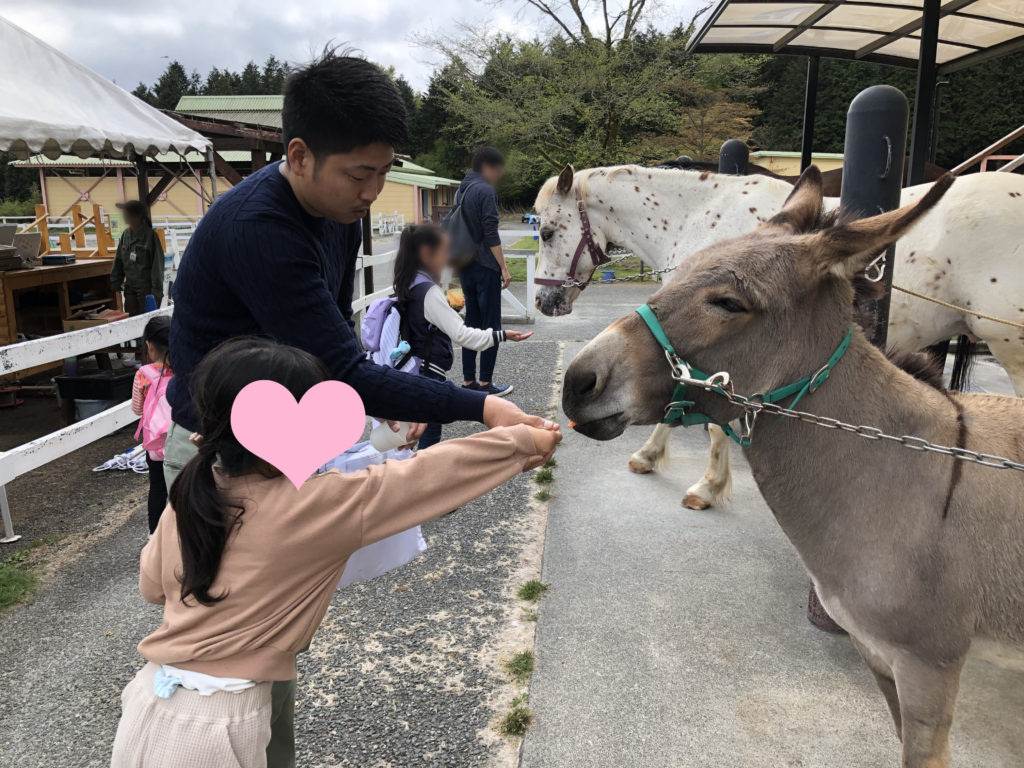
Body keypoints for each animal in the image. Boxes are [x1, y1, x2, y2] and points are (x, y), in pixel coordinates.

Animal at [532, 162, 1024, 512]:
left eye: (548, 231)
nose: (543, 301)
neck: (698, 216)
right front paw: (649, 456)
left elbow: (712, 424)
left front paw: (706, 488)